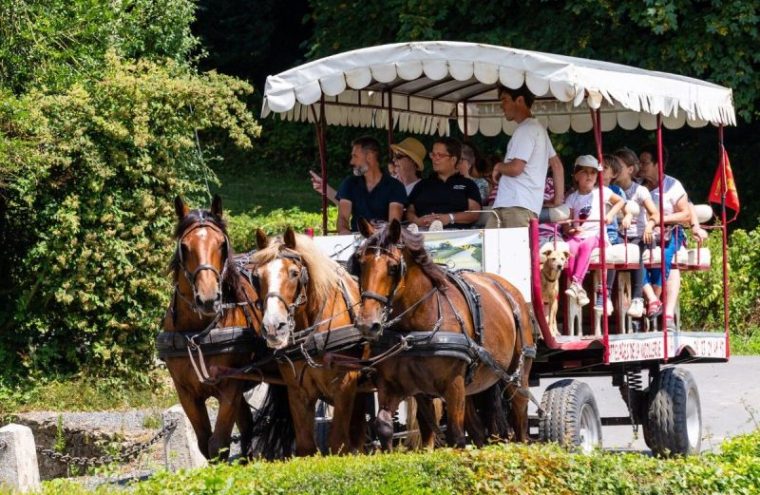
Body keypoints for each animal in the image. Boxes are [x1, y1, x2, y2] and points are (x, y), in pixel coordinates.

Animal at [160, 197, 290, 462]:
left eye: (221, 245)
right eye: (184, 247)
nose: (209, 299)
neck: (197, 334)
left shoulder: (230, 386)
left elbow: (218, 444)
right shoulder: (186, 392)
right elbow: (204, 443)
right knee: (247, 424)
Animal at [249, 229, 368, 458]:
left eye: (294, 273)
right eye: (256, 277)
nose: (273, 327)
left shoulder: (345, 385)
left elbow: (338, 443)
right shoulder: (297, 391)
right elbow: (305, 447)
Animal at [352, 219, 536, 452]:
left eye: (393, 268)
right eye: (360, 263)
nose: (368, 324)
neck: (415, 329)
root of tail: (509, 290)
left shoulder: (453, 386)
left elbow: (455, 436)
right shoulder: (403, 388)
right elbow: (387, 426)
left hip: (516, 377)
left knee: (520, 419)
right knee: (477, 430)